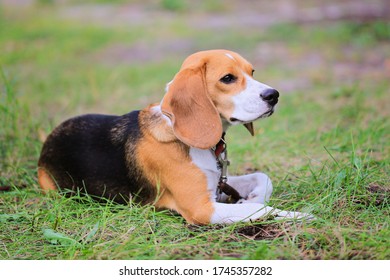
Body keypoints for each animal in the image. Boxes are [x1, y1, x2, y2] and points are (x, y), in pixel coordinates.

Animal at [37, 49, 314, 224]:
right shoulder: (202, 209)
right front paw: (296, 215)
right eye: (227, 78)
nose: (273, 95)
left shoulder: (216, 183)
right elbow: (259, 210)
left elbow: (262, 177)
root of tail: (49, 139)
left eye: (252, 72)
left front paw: (254, 197)